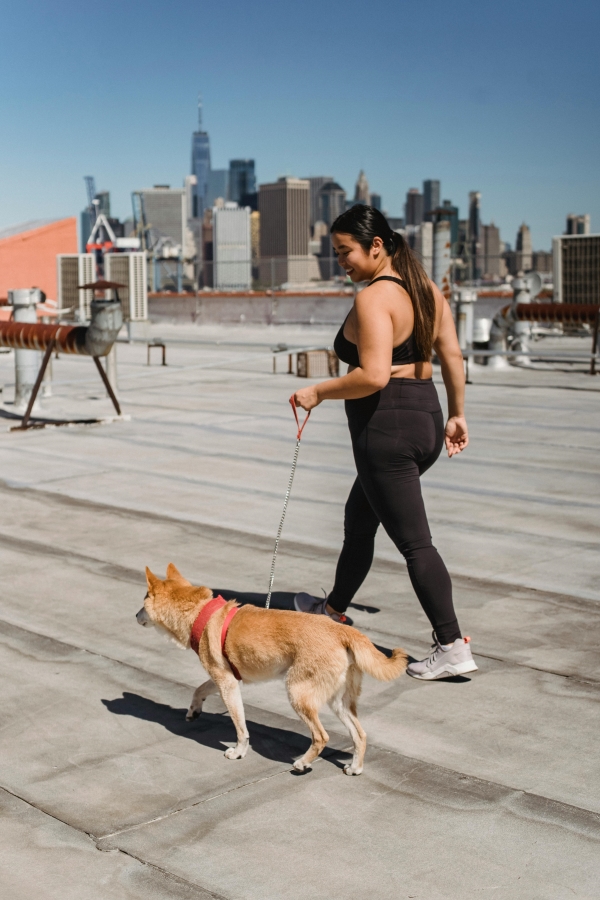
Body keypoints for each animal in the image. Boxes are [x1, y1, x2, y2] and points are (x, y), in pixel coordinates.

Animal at [137, 564, 408, 772]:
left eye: (143, 602)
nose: (135, 615)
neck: (200, 613)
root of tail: (342, 630)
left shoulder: (227, 684)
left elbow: (240, 727)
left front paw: (239, 751)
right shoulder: (224, 678)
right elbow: (199, 689)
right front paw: (194, 710)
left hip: (298, 693)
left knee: (321, 736)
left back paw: (303, 763)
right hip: (338, 701)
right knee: (360, 735)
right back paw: (355, 767)